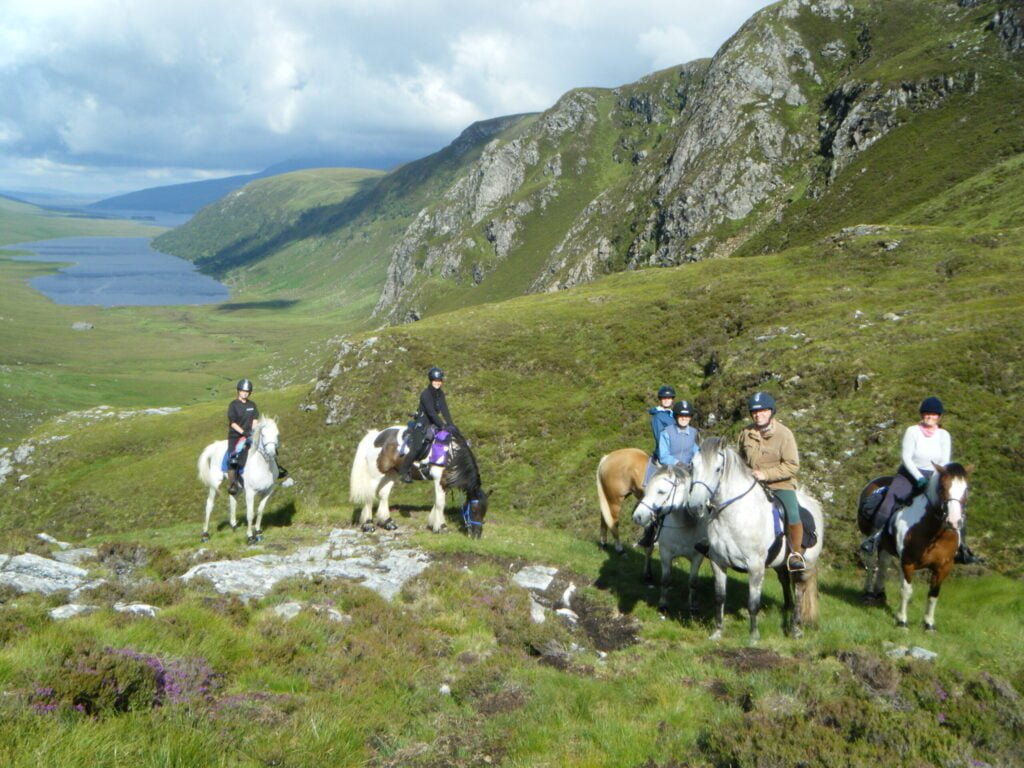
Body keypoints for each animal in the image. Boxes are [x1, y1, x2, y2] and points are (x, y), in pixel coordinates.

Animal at [196, 415, 280, 548]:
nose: (271, 453)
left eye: (277, 434)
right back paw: (205, 535)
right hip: (215, 483)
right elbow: (250, 514)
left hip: (237, 485)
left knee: (232, 499)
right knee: (209, 505)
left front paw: (258, 533)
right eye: (263, 435)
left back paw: (234, 525)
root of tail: (216, 445)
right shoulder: (250, 492)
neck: (263, 466)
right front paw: (250, 537)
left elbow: (260, 511)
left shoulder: (268, 491)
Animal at [350, 423, 489, 536]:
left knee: (384, 494)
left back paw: (388, 522)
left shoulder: (444, 482)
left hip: (391, 473)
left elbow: (438, 502)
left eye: (484, 511)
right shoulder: (439, 479)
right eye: (474, 510)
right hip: (375, 474)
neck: (452, 455)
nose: (476, 535)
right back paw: (368, 525)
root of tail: (376, 436)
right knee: (369, 496)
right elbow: (440, 503)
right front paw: (441, 527)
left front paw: (433, 523)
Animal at [626, 462, 708, 618]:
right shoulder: (665, 553)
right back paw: (647, 574)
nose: (637, 516)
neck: (685, 525)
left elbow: (693, 582)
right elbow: (665, 580)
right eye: (647, 490)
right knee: (648, 550)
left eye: (661, 492)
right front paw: (663, 605)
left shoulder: (697, 557)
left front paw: (692, 608)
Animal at [684, 438, 827, 643]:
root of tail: (812, 503)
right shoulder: (718, 562)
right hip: (780, 564)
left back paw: (795, 628)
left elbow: (753, 603)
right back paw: (786, 609)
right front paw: (717, 631)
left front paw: (753, 636)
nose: (695, 506)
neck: (734, 514)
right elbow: (720, 597)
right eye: (692, 466)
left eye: (718, 469)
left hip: (805, 565)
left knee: (800, 590)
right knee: (785, 582)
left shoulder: (755, 566)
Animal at [860, 462, 970, 630]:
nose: (954, 521)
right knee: (872, 564)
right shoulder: (908, 562)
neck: (932, 531)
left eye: (966, 489)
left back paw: (880, 593)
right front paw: (902, 621)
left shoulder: (944, 566)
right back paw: (869, 593)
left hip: (886, 547)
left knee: (884, 565)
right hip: (871, 539)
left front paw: (929, 624)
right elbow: (906, 590)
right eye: (942, 487)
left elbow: (933, 594)